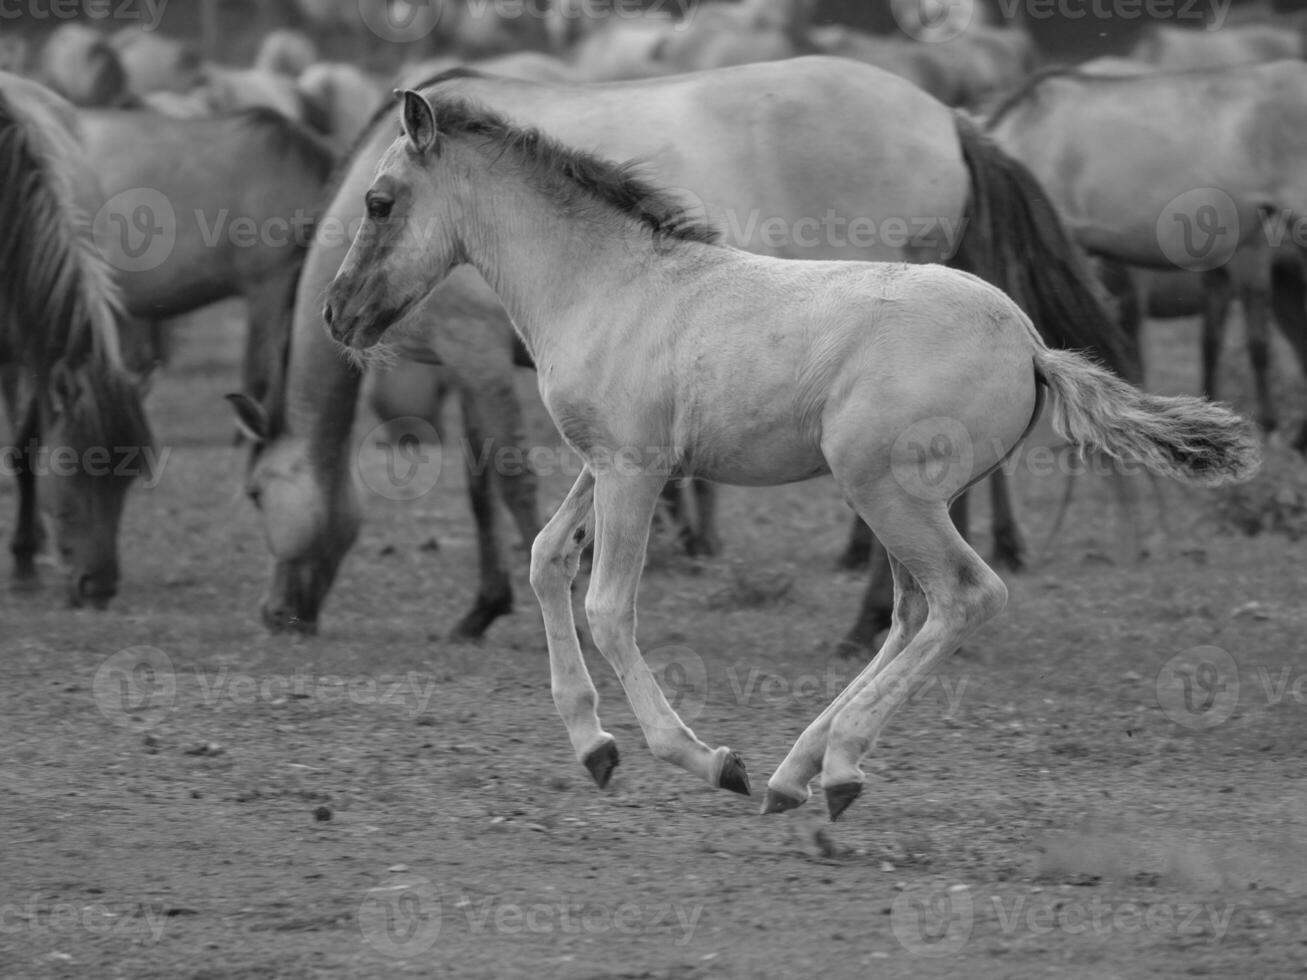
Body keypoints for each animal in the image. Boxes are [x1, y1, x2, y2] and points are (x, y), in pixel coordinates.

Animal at [0, 70, 154, 606]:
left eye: (127, 480)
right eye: (73, 466)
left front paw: (24, 559)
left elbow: (25, 449)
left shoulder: (34, 353)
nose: (100, 586)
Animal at [240, 57, 1139, 648]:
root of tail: (950, 116)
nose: (338, 312)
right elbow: (489, 488)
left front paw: (493, 609)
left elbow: (506, 482)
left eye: (379, 203)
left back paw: (856, 632)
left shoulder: (476, 356)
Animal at [321, 92, 1259, 825]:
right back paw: (796, 772)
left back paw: (830, 765)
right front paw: (593, 748)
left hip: (883, 490)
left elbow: (607, 606)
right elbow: (548, 558)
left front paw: (701, 759)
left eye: (378, 200)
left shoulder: (633, 468)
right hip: (898, 501)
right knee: (910, 613)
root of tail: (1031, 347)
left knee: (963, 596)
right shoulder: (607, 462)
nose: (337, 313)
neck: (607, 284)